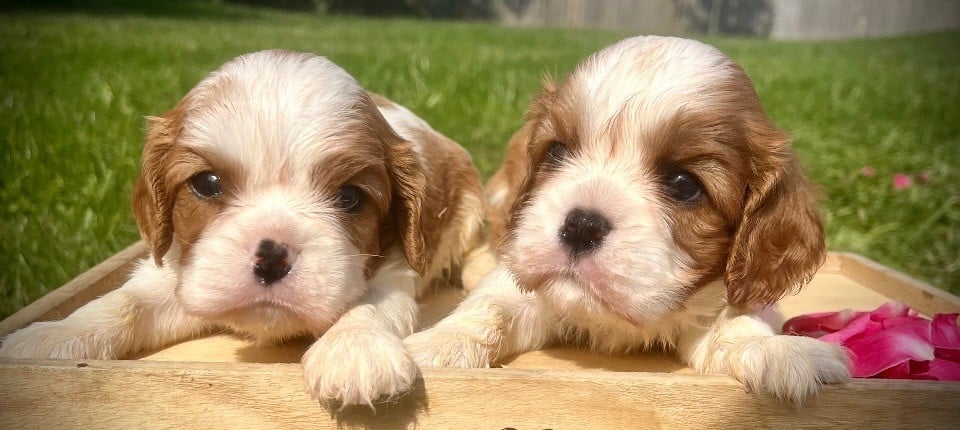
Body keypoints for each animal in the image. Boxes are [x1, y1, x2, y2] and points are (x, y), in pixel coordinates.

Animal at [1, 49, 488, 406]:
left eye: (350, 197)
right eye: (207, 183)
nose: (272, 255)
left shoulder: (395, 270)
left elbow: (372, 305)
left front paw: (355, 351)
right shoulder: (184, 271)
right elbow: (124, 302)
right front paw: (51, 336)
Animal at [404, 36, 848, 404]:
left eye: (684, 184)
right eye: (556, 152)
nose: (581, 225)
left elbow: (738, 325)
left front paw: (778, 352)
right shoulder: (523, 284)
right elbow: (489, 308)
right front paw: (435, 345)